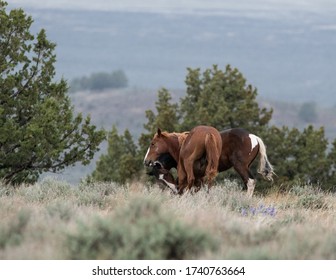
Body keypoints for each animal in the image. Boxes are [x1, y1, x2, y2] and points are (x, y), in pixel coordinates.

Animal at [144, 127, 272, 197]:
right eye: (160, 180)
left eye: (153, 144)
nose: (146, 161)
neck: (181, 145)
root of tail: (253, 137)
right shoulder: (199, 176)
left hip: (240, 166)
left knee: (250, 181)